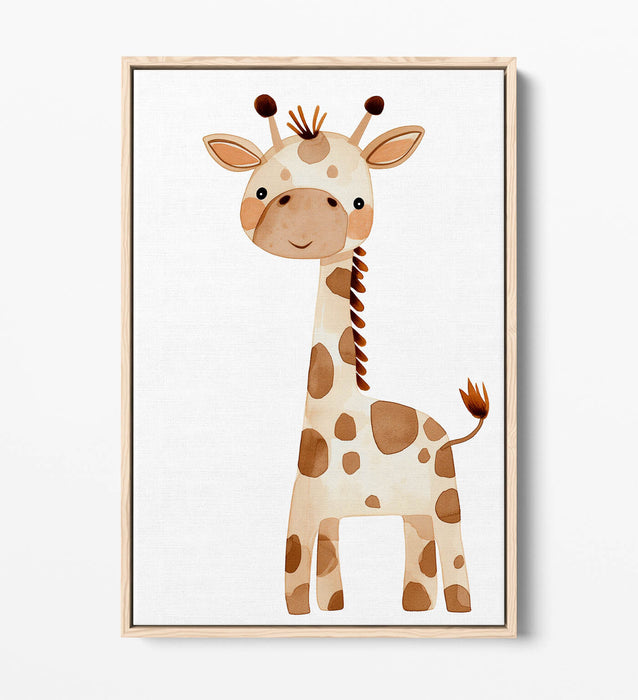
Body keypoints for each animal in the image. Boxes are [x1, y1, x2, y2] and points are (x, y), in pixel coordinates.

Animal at [203, 94, 489, 615]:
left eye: (358, 201)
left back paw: (459, 609)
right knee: (421, 547)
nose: (308, 215)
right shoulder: (316, 510)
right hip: (413, 508)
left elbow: (295, 574)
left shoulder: (303, 511)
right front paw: (332, 610)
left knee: (453, 550)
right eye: (260, 190)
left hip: (445, 494)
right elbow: (320, 570)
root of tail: (448, 432)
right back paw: (414, 608)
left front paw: (304, 615)